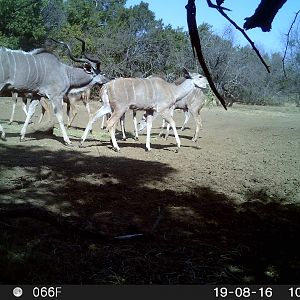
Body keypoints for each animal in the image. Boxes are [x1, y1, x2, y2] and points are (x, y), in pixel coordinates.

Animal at [81, 69, 210, 151]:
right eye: (200, 76)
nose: (208, 84)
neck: (172, 90)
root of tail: (106, 86)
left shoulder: (150, 110)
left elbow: (149, 125)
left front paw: (148, 147)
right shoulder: (162, 109)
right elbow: (172, 122)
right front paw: (178, 146)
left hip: (107, 106)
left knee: (93, 116)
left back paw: (82, 141)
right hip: (119, 108)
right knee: (110, 123)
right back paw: (116, 147)